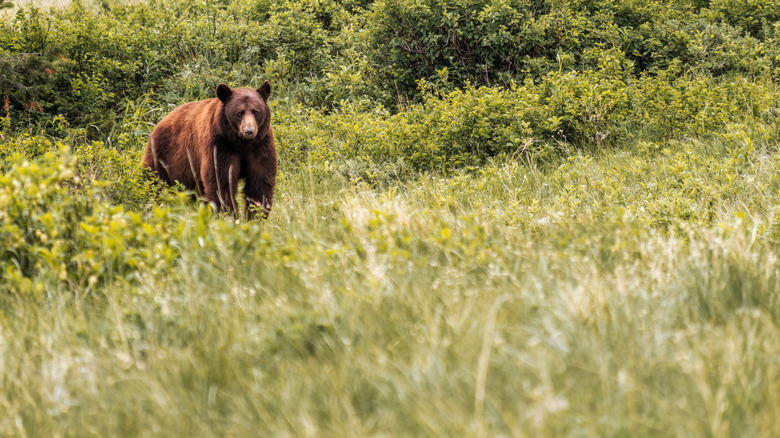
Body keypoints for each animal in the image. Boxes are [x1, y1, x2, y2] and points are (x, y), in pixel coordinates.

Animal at [143, 81, 277, 218]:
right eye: (240, 112)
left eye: (256, 111)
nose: (249, 131)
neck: (241, 143)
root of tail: (159, 124)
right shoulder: (220, 146)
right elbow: (221, 181)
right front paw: (228, 214)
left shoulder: (261, 145)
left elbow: (260, 181)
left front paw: (255, 215)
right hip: (163, 157)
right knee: (156, 184)